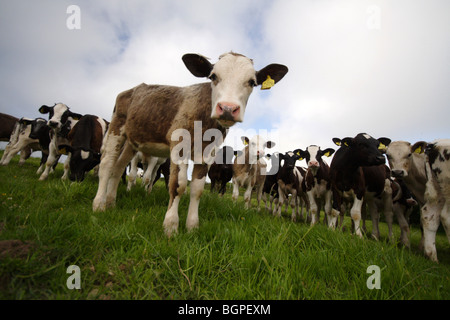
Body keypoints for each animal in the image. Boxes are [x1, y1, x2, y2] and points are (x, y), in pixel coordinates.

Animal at [92, 52, 288, 238]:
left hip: (133, 141)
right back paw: (98, 205)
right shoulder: (178, 147)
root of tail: (134, 89)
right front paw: (171, 226)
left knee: (118, 168)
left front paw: (192, 226)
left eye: (252, 82)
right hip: (117, 127)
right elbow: (178, 186)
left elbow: (197, 190)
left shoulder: (207, 155)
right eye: (213, 76)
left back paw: (110, 202)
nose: (227, 108)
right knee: (107, 164)